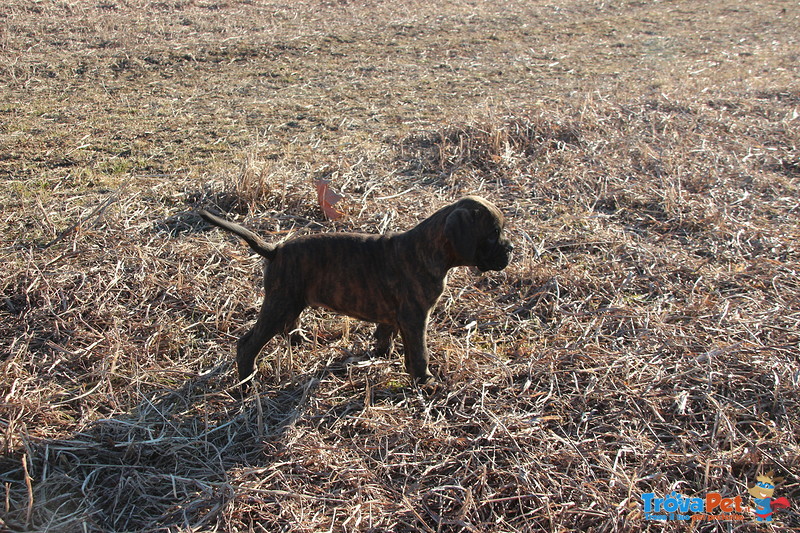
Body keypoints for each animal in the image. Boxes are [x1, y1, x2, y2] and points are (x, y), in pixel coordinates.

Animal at [200, 195, 512, 386]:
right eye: (493, 234)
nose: (511, 249)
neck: (429, 247)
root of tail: (275, 249)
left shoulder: (398, 317)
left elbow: (387, 335)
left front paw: (382, 355)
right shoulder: (416, 318)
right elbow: (420, 352)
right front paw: (425, 382)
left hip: (290, 301)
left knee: (289, 325)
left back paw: (300, 342)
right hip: (279, 304)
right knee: (248, 344)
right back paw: (246, 381)